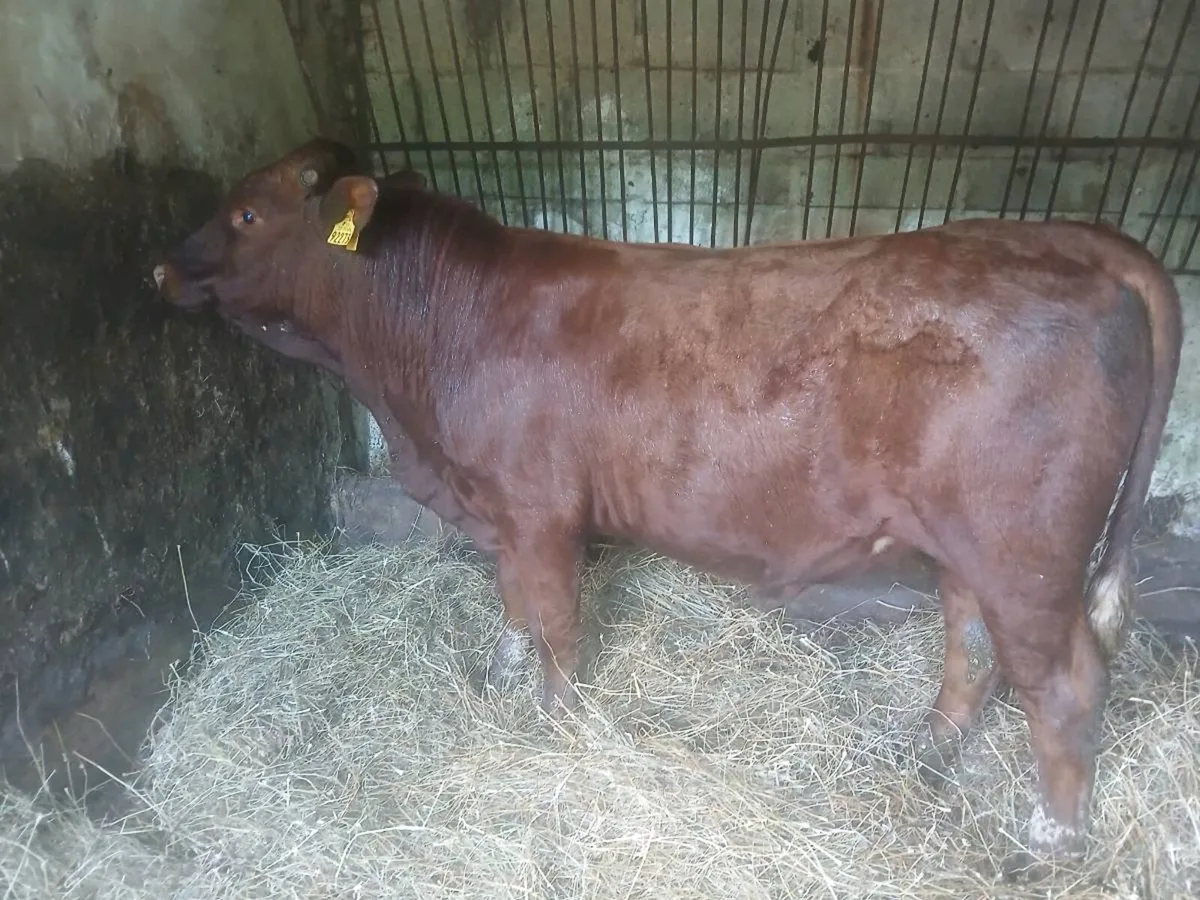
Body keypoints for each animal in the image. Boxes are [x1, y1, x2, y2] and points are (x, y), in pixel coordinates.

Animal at [153, 137, 1182, 867]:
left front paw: (557, 724)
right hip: (971, 549)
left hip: (1024, 555)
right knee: (971, 649)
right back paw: (924, 756)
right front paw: (498, 671)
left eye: (247, 211)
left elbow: (558, 625)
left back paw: (1048, 845)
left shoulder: (540, 510)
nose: (161, 266)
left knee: (1065, 686)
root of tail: (1065, 237)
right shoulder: (502, 508)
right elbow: (513, 602)